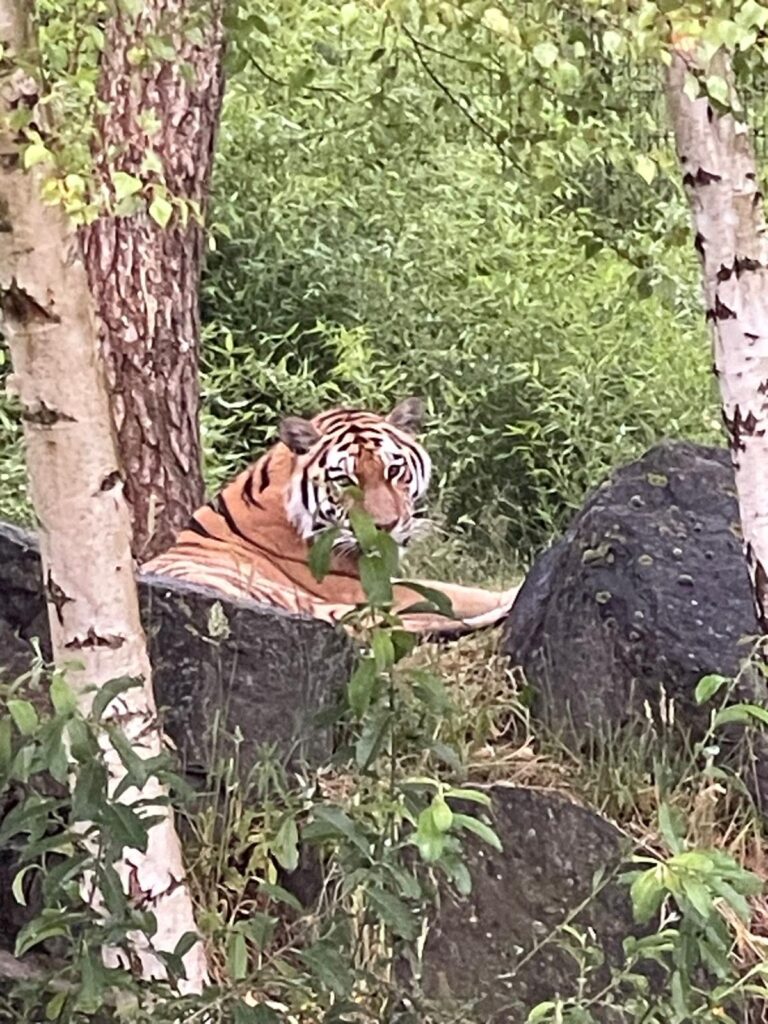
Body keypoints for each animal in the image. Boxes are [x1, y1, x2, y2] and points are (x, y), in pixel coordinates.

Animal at [141, 397, 520, 630]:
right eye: (345, 480)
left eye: (394, 470)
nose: (386, 527)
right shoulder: (366, 588)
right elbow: (455, 593)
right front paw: (509, 592)